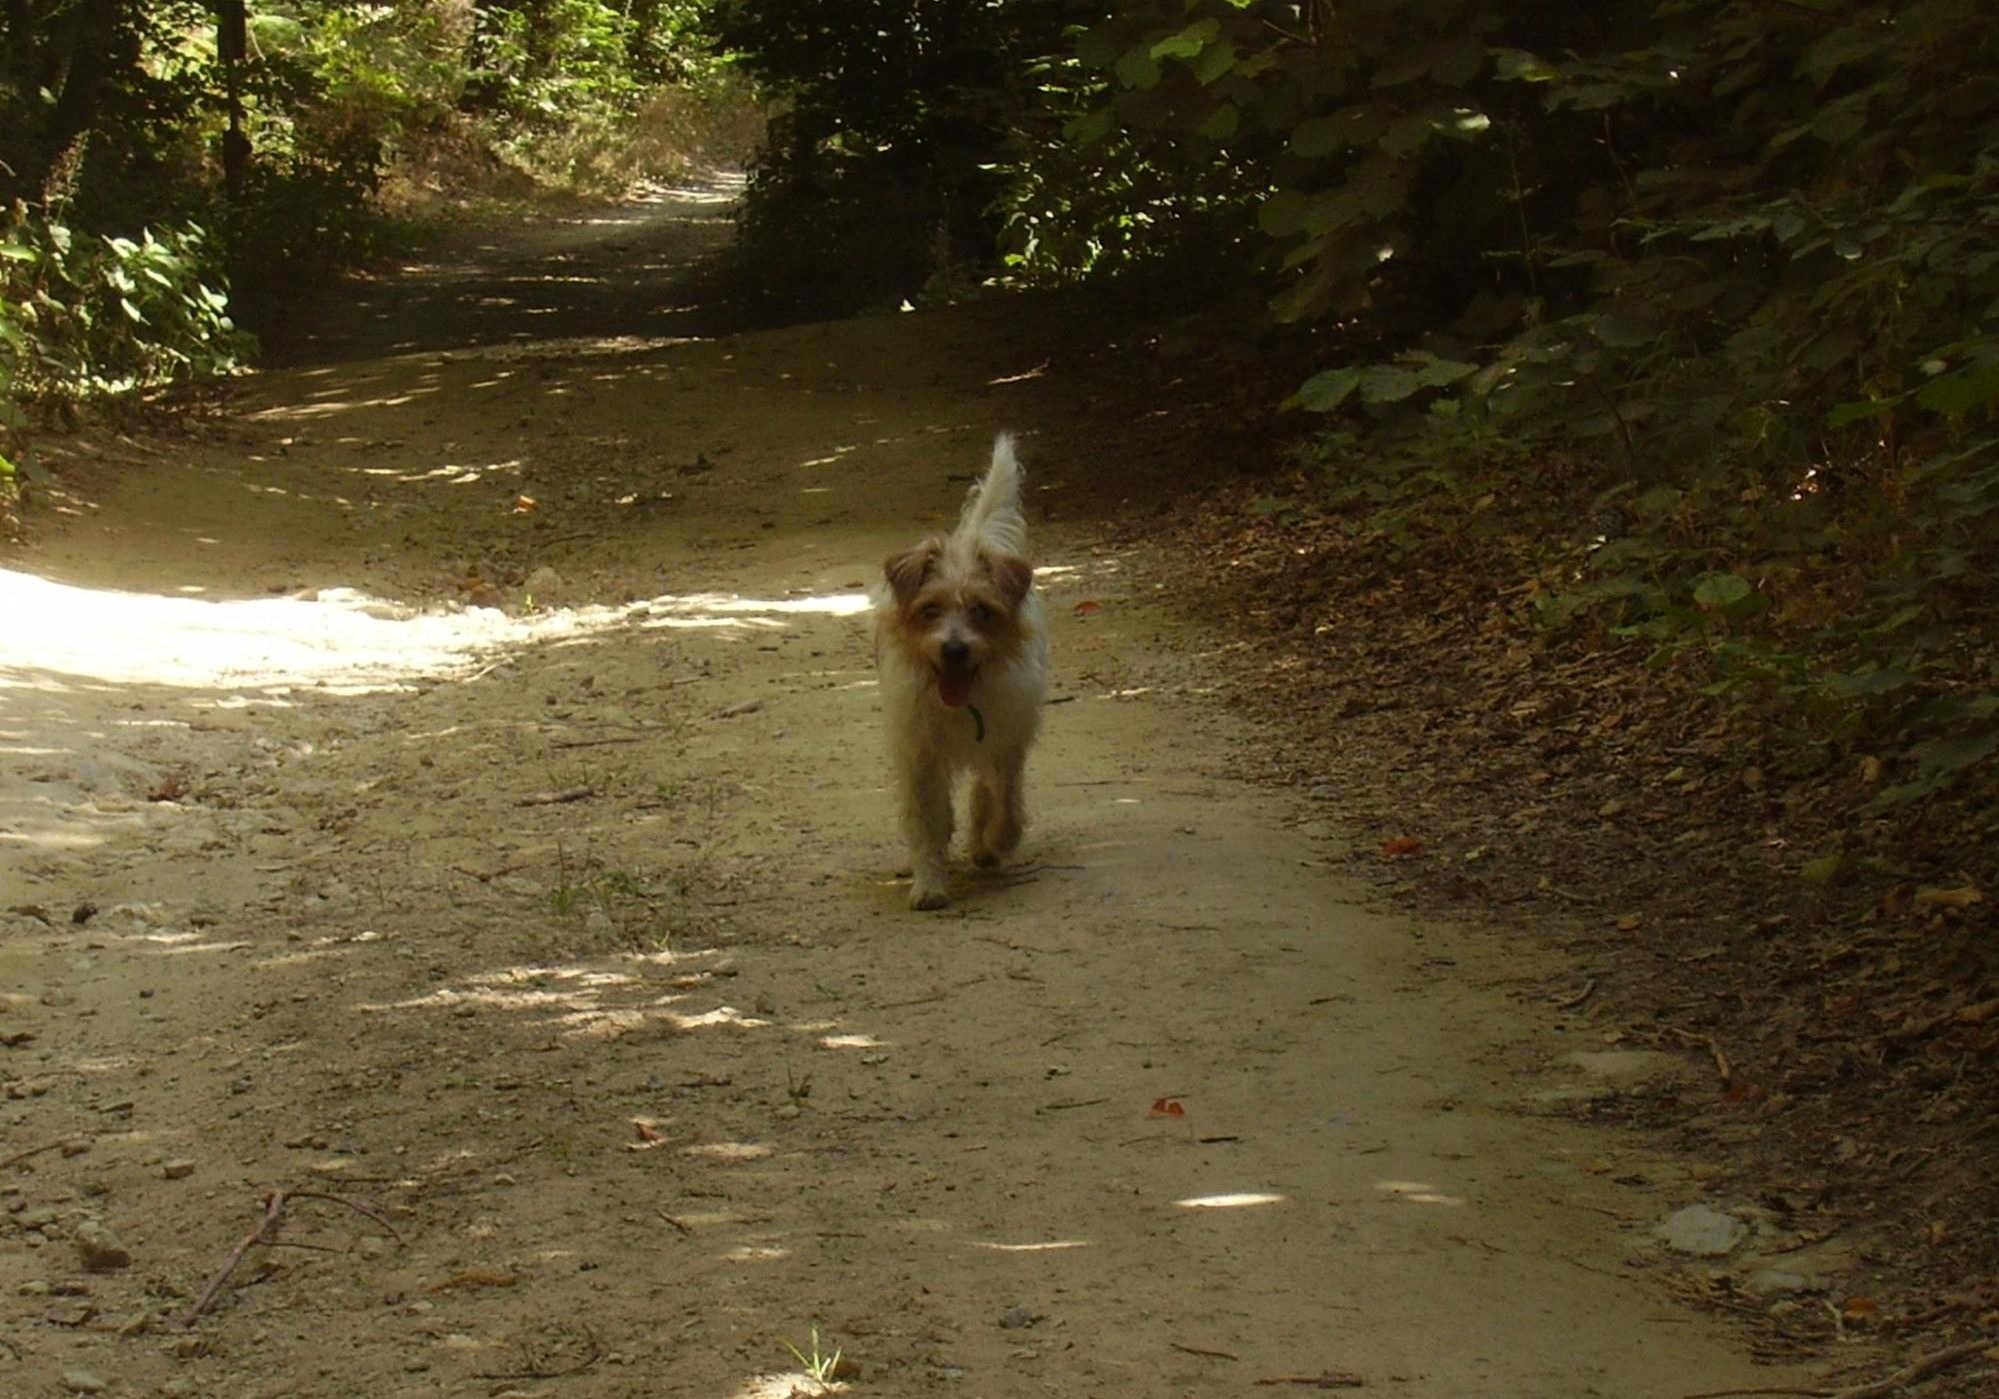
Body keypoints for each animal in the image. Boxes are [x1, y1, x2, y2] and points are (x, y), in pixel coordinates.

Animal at [879, 437, 1055, 919]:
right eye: (930, 609)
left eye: (981, 610)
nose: (954, 649)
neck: (963, 699)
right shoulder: (920, 755)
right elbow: (928, 823)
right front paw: (928, 883)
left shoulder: (1007, 742)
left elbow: (1006, 804)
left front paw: (994, 844)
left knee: (986, 792)